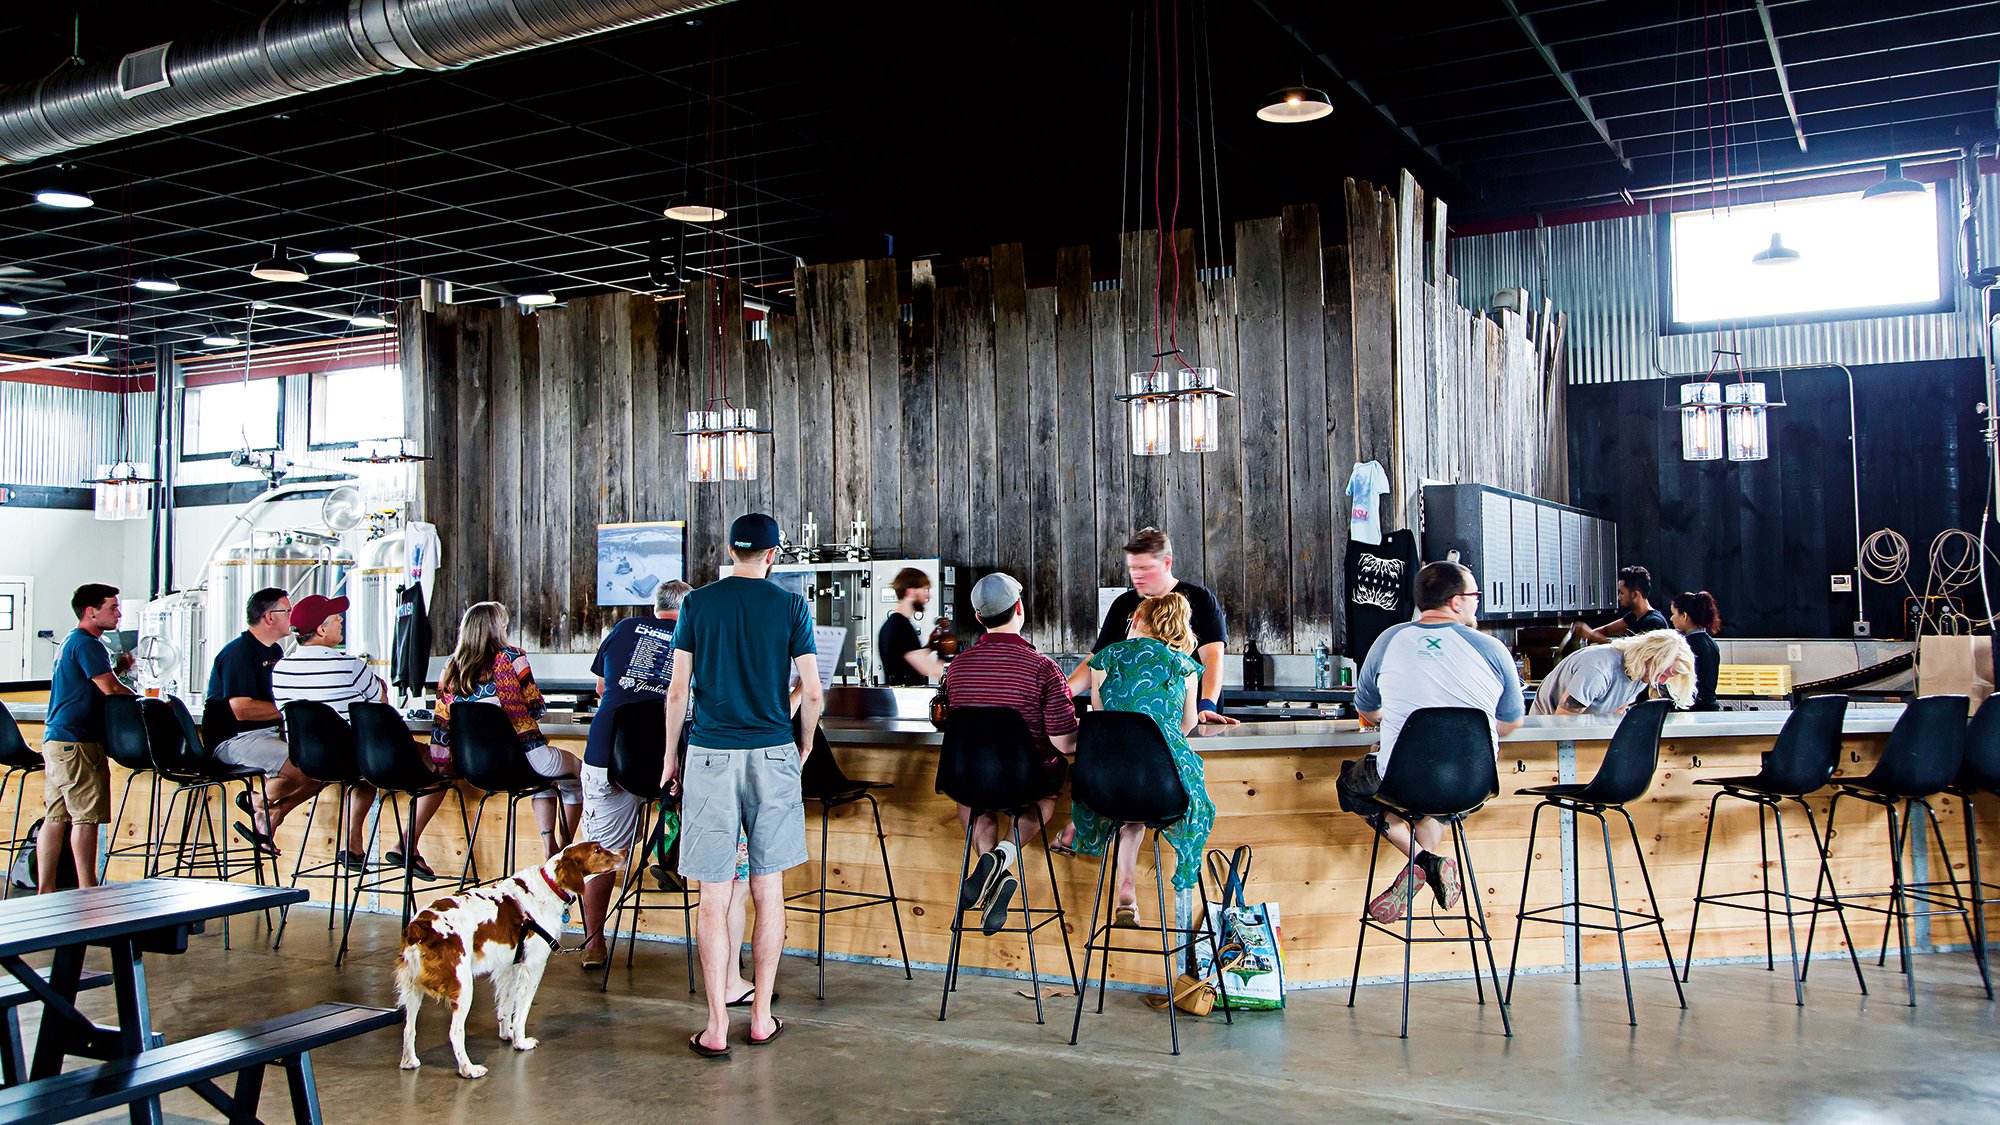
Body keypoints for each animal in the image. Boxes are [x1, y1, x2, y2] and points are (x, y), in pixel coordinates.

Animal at [398, 836, 624, 1072]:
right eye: (597, 850)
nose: (625, 852)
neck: (549, 887)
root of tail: (420, 926)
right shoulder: (533, 966)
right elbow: (522, 1010)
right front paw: (520, 1042)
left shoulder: (509, 966)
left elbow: (506, 1006)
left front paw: (506, 1034)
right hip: (463, 986)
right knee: (455, 1032)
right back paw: (469, 1069)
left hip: (412, 988)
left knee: (409, 1028)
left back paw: (410, 1061)